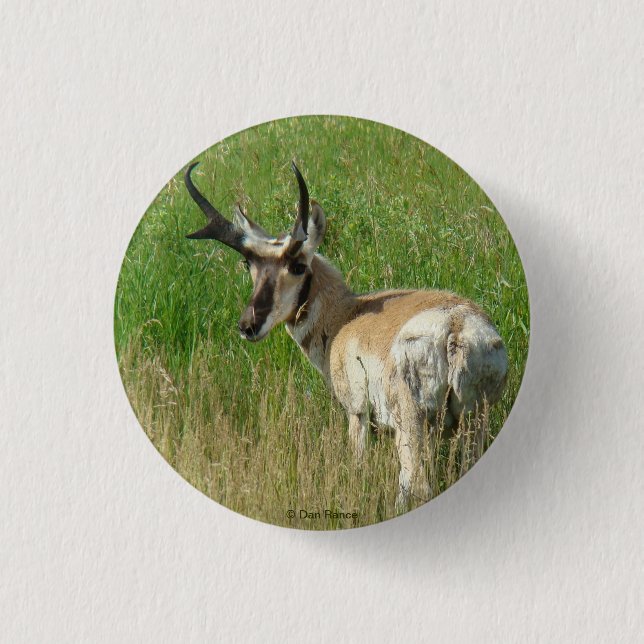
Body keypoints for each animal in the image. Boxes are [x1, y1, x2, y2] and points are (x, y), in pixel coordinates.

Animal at [184, 161, 508, 508]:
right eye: (248, 263)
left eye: (298, 265)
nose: (248, 325)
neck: (346, 315)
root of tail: (455, 326)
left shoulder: (357, 414)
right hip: (474, 422)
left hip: (413, 425)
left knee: (415, 483)